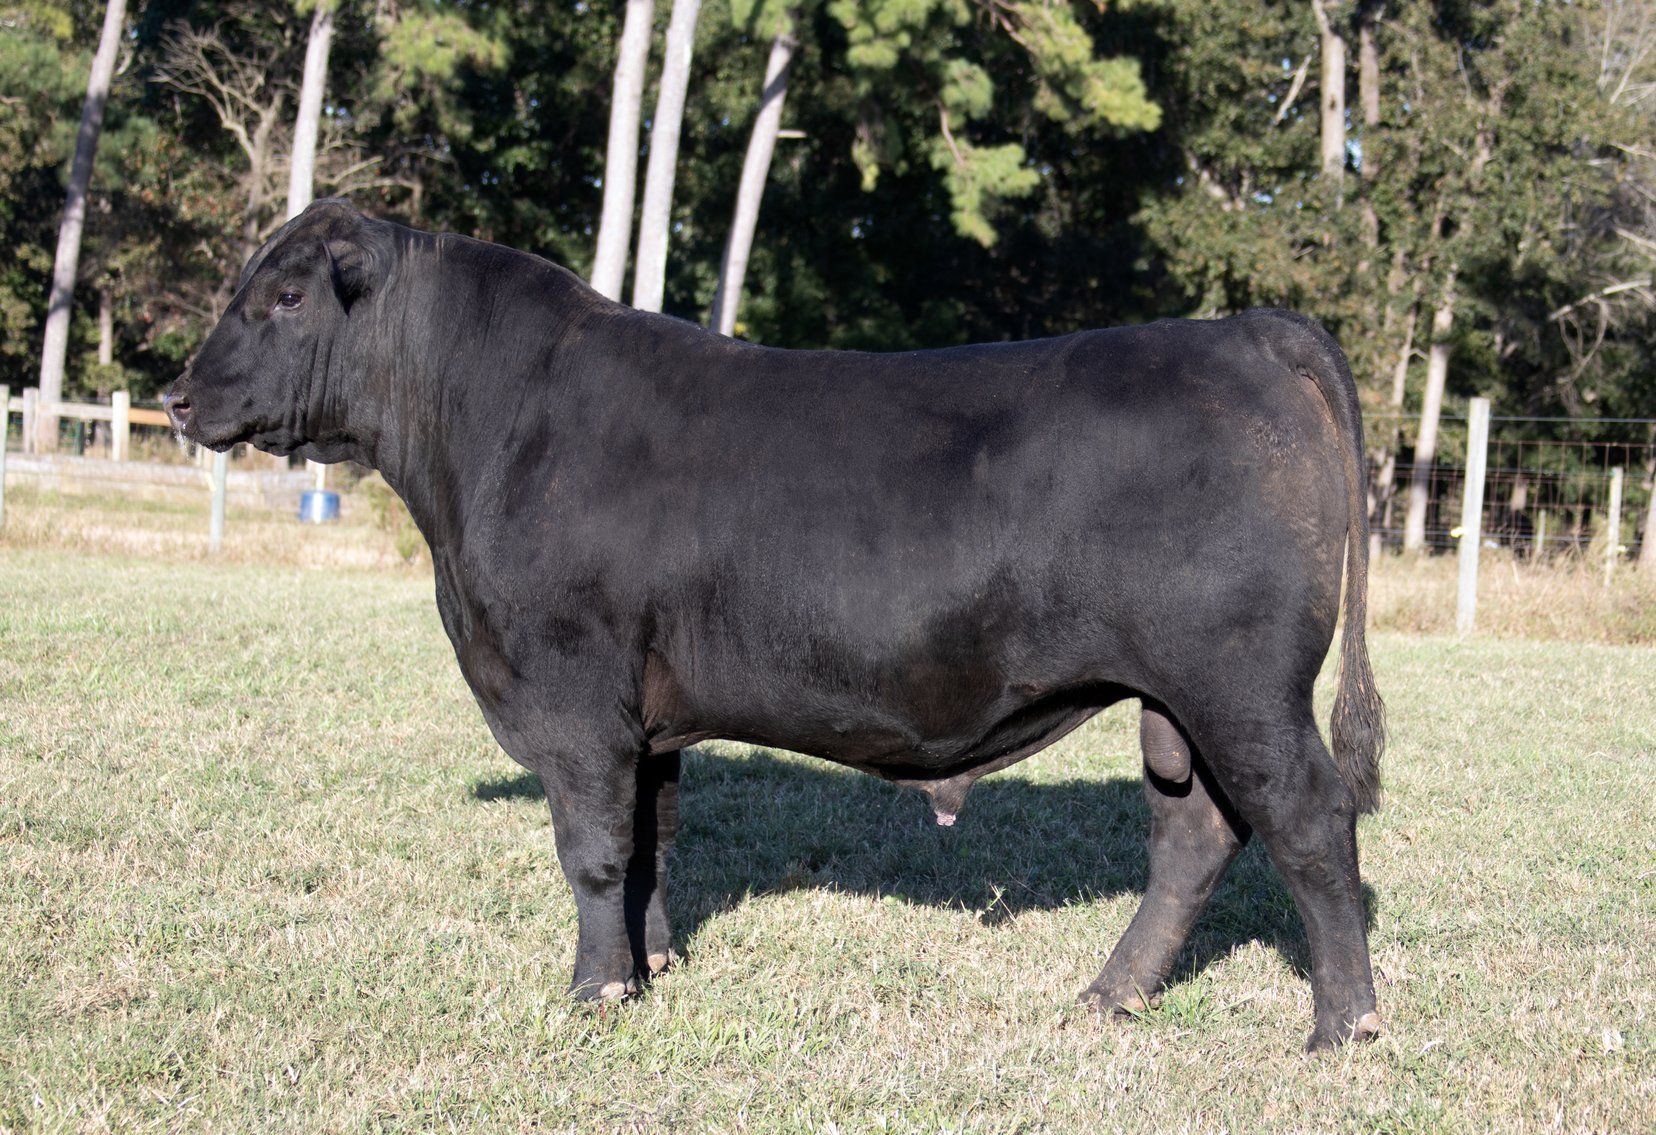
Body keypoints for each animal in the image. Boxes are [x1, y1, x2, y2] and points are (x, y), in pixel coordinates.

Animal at [165, 199, 1386, 1050]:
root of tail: (1245, 331)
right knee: (1196, 837)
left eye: (285, 298)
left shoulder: (571, 695)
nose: (177, 396)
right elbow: (650, 844)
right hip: (1177, 704)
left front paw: (592, 994)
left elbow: (593, 851)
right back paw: (1106, 997)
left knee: (1311, 822)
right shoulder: (641, 717)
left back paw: (1344, 1025)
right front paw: (649, 970)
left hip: (1240, 684)